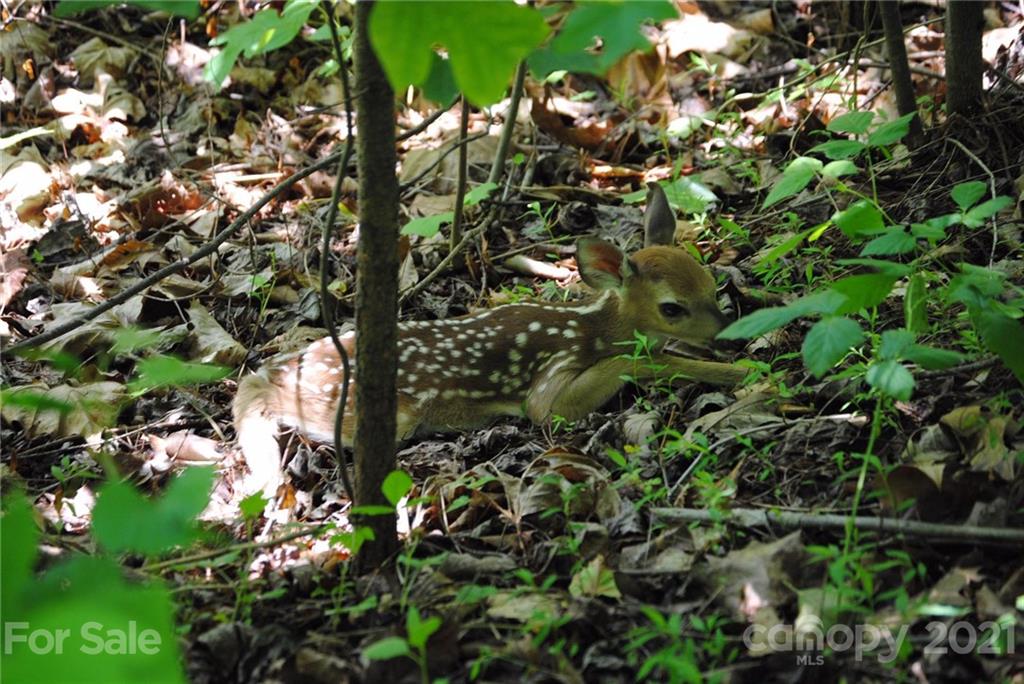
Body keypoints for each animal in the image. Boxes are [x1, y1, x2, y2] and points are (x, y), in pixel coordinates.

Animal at [233, 184, 747, 496]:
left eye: (711, 284)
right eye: (672, 308)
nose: (727, 334)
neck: (595, 327)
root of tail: (269, 375)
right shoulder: (549, 383)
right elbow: (618, 371)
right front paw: (735, 373)